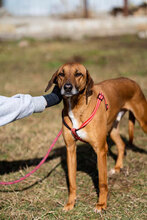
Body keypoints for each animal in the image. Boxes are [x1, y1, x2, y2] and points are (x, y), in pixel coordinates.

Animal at [45, 62, 147, 212]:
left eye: (78, 73)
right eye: (61, 74)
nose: (67, 87)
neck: (76, 107)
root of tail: (132, 81)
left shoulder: (100, 150)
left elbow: (102, 182)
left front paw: (101, 204)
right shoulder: (70, 149)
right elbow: (72, 182)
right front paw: (70, 203)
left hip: (142, 121)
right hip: (112, 129)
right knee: (121, 145)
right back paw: (117, 168)